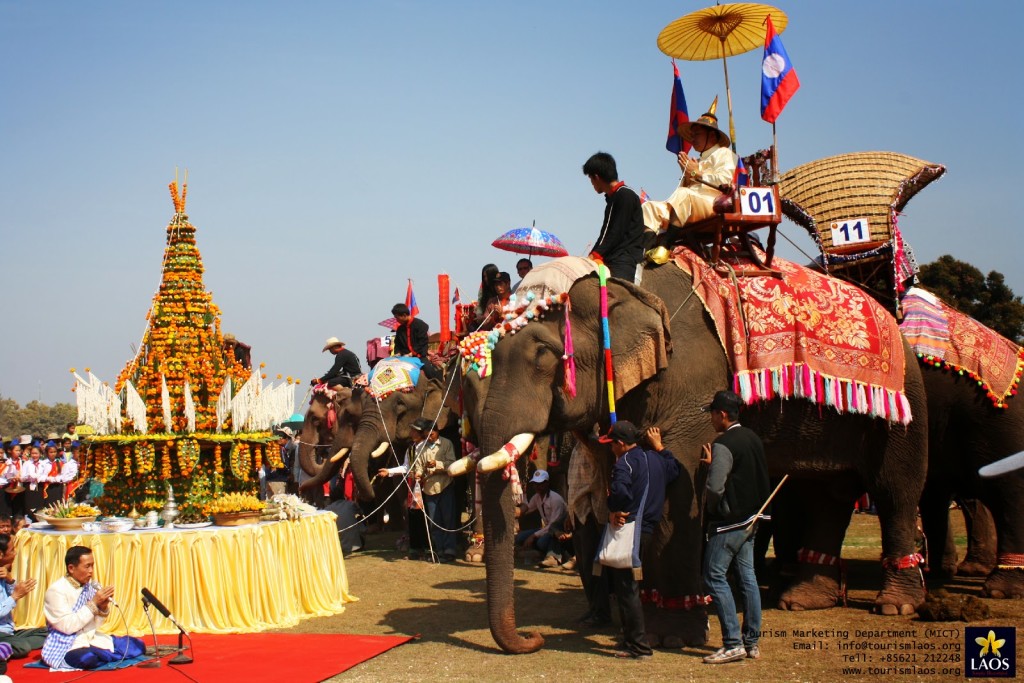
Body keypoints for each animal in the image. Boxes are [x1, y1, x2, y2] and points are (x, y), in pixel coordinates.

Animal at [468, 259, 933, 655]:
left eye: (543, 356)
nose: (532, 640)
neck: (623, 285)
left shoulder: (693, 385)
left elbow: (677, 485)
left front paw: (670, 636)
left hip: (906, 403)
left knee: (895, 489)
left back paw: (895, 605)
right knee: (824, 493)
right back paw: (803, 600)